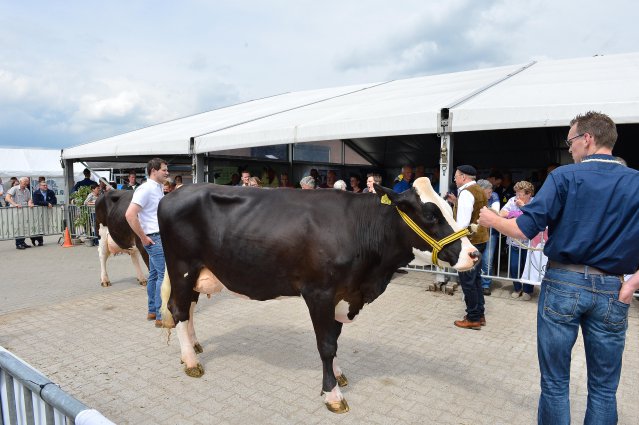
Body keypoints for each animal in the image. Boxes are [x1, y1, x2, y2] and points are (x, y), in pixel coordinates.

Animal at [160, 177, 480, 412]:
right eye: (430, 214)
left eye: (449, 209)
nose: (474, 254)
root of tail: (177, 191)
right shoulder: (320, 293)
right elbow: (326, 345)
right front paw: (332, 395)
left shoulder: (342, 294)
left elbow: (335, 341)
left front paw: (338, 376)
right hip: (182, 267)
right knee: (178, 309)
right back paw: (191, 361)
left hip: (197, 271)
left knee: (189, 308)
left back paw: (194, 346)